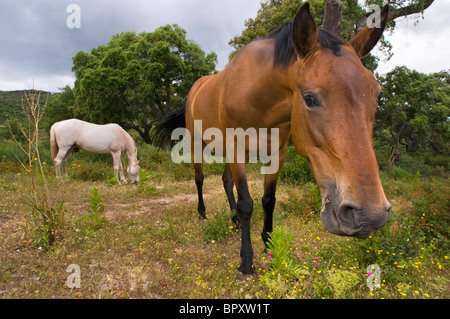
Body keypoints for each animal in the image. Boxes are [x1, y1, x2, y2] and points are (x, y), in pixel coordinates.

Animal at [157, 2, 390, 276]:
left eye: (377, 94)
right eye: (310, 98)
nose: (369, 215)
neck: (257, 98)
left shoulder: (276, 154)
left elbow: (268, 201)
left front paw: (268, 246)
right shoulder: (237, 150)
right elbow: (246, 203)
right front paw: (246, 262)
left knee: (226, 181)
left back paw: (234, 220)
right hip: (198, 144)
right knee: (200, 179)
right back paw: (202, 214)